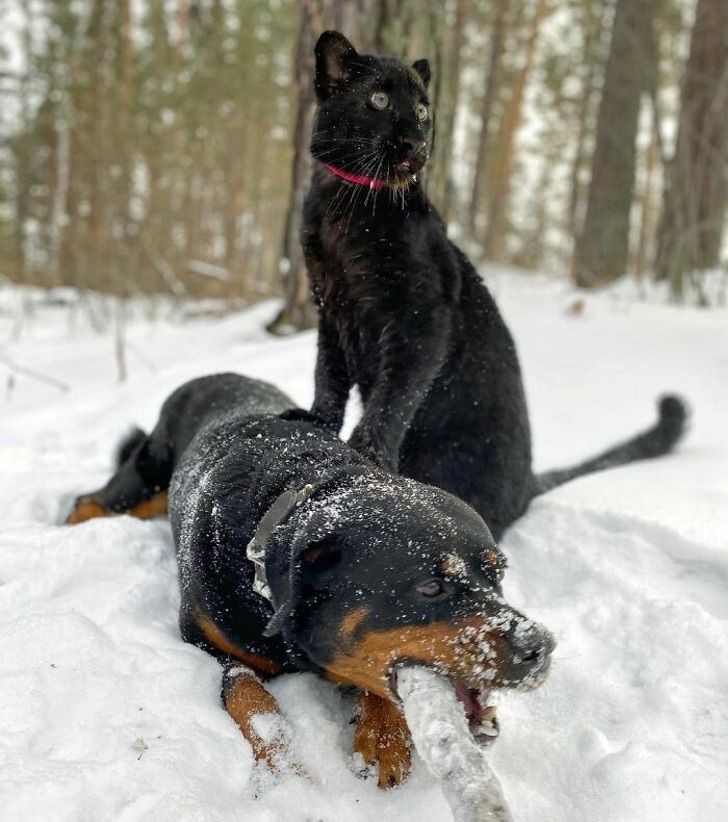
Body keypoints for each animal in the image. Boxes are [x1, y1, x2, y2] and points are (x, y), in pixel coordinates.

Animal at [69, 374, 552, 792]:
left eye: (498, 573)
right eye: (430, 587)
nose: (540, 647)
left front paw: (384, 736)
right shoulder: (205, 642)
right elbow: (251, 698)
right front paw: (285, 771)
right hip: (144, 476)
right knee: (92, 499)